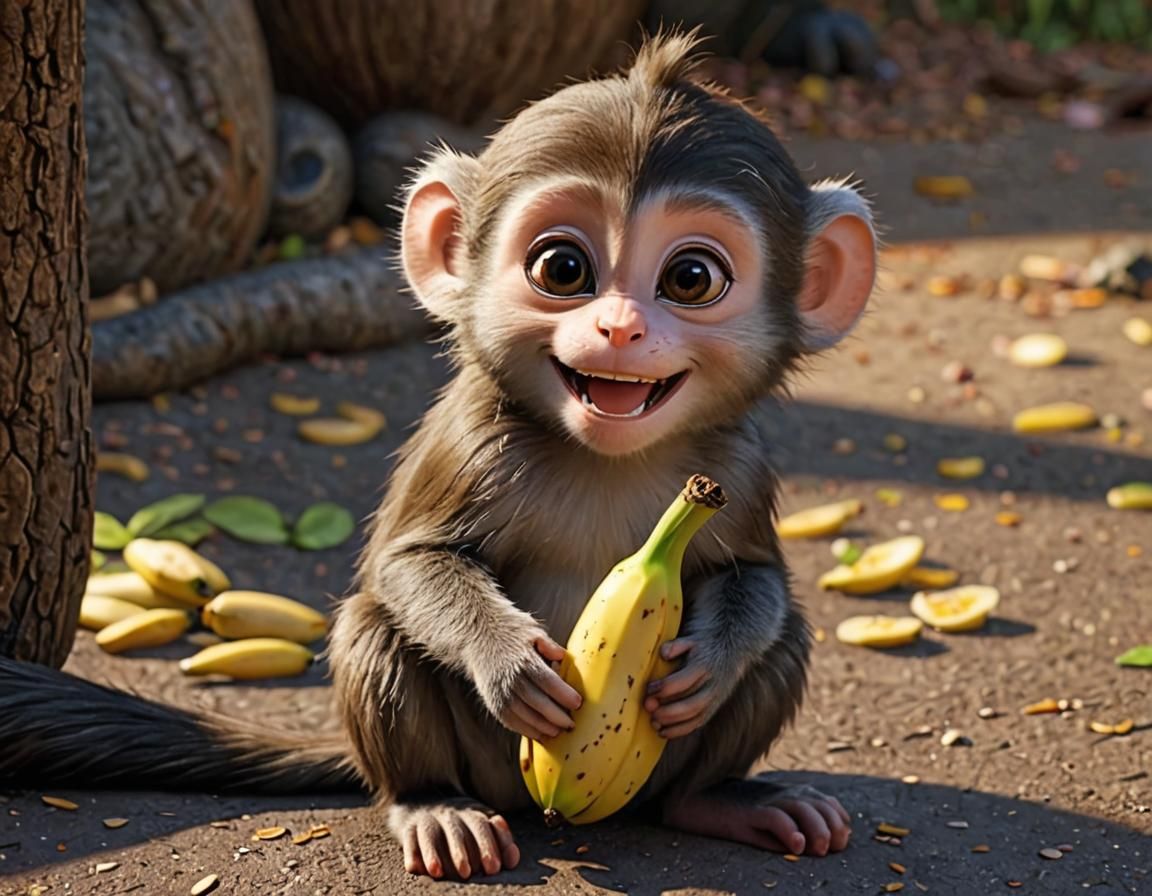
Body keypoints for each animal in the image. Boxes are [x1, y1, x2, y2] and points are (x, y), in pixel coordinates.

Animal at [0, 31, 876, 881]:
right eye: (563, 268)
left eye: (691, 278)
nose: (620, 328)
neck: (606, 456)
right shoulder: (472, 444)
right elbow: (406, 565)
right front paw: (508, 662)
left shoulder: (738, 464)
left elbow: (757, 575)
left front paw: (713, 662)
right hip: (487, 765)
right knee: (377, 629)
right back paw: (429, 804)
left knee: (784, 642)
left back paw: (716, 799)